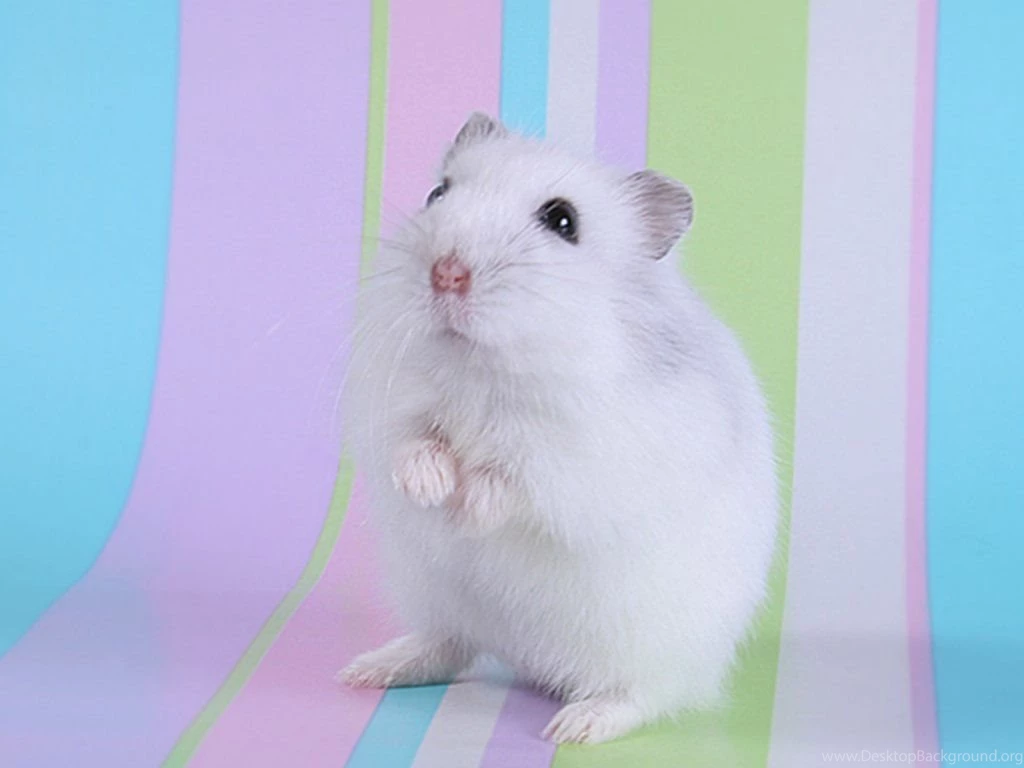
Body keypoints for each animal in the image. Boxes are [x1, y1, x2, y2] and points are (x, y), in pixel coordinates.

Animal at [338, 113, 778, 745]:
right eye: (438, 193)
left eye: (562, 221)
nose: (446, 274)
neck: (487, 366)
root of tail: (532, 659)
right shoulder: (394, 407)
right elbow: (414, 443)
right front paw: (432, 490)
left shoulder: (576, 458)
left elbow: (517, 479)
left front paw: (467, 512)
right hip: (433, 597)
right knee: (450, 645)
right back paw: (366, 671)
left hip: (652, 647)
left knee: (646, 695)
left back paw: (574, 726)